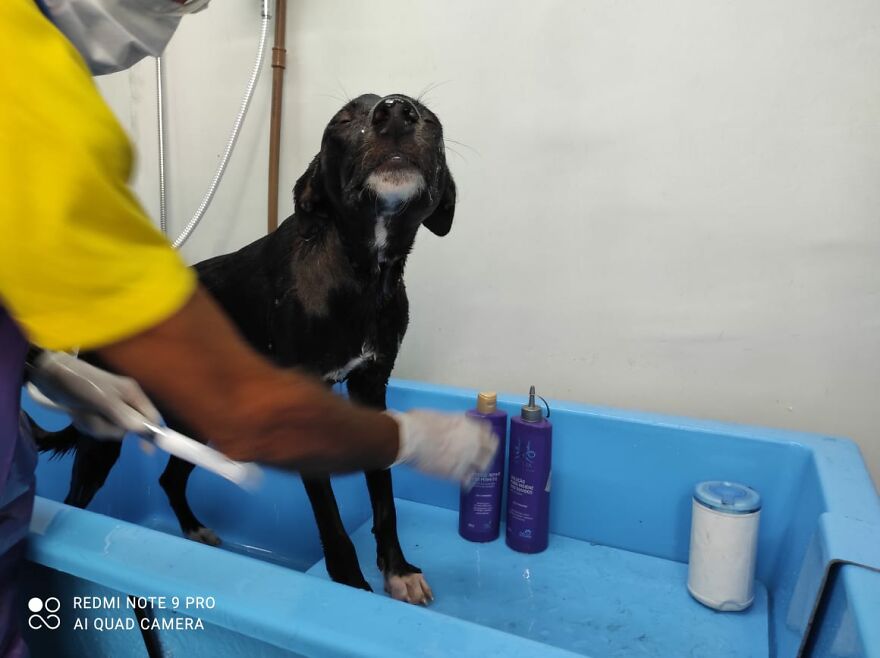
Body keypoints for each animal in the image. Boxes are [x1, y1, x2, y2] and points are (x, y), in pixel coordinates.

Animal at [29, 95, 454, 604]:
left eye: (430, 119)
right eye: (343, 119)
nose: (395, 111)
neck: (359, 273)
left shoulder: (371, 386)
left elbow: (384, 497)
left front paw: (398, 569)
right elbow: (333, 522)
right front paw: (352, 586)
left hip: (195, 420)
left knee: (169, 478)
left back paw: (194, 530)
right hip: (103, 436)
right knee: (78, 499)